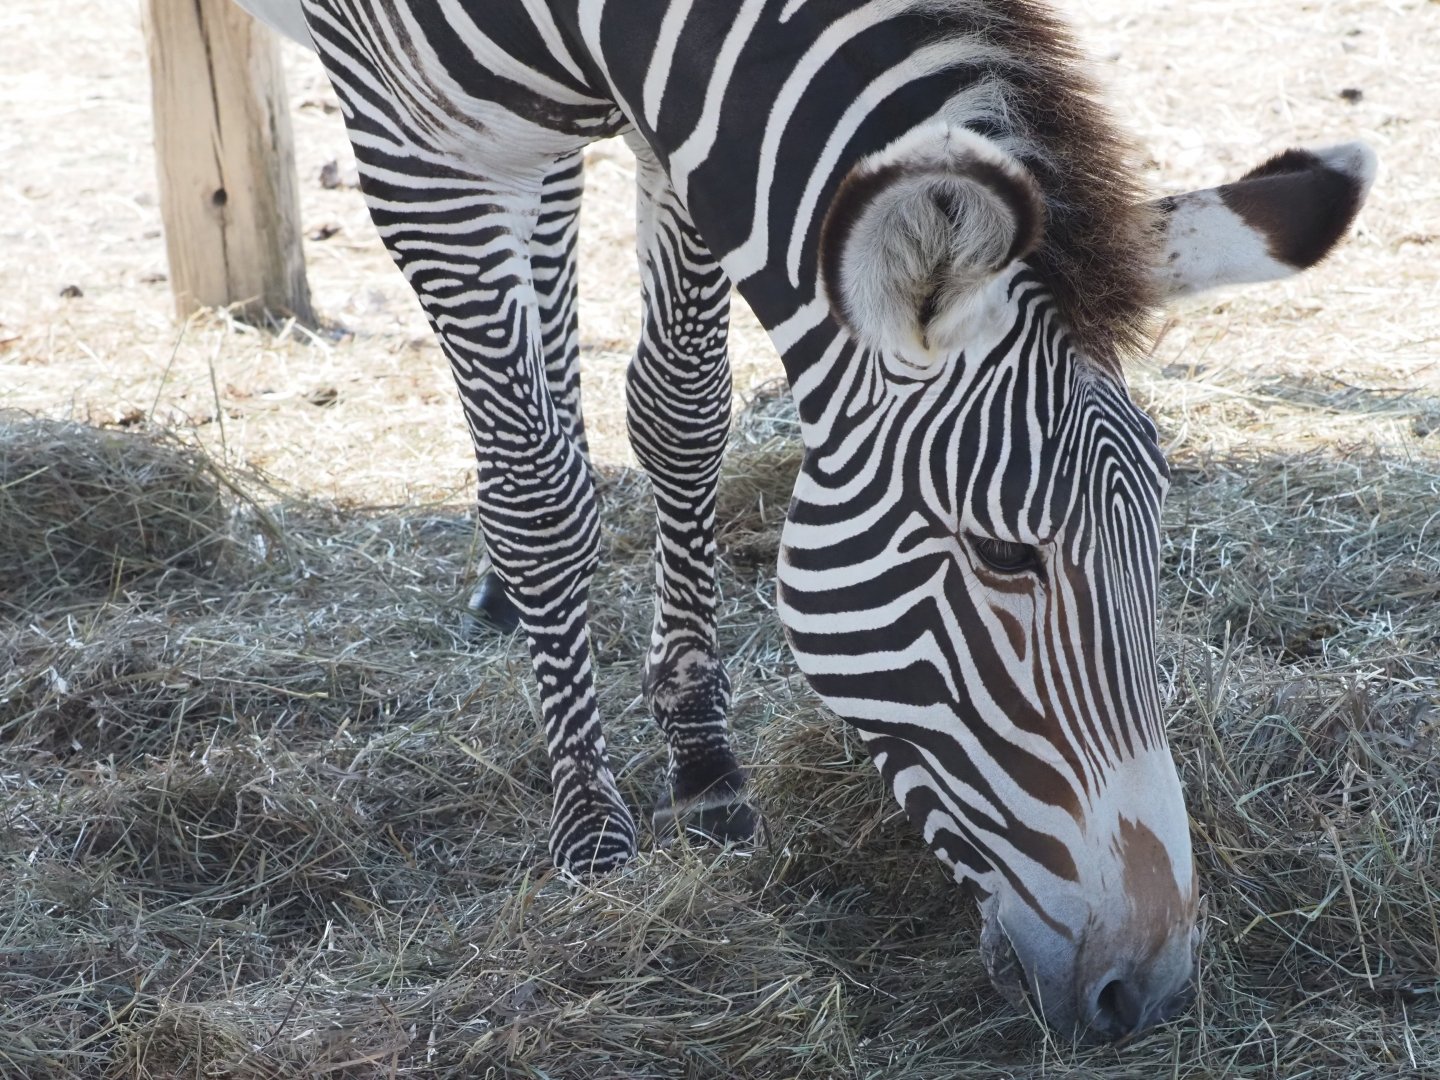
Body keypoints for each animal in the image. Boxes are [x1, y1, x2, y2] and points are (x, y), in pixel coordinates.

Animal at [229, 0, 1374, 1040]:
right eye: (1004, 552)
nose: (1152, 986)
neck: (601, 23)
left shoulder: (676, 122)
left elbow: (681, 411)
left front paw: (700, 760)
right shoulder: (414, 145)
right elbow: (539, 484)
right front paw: (593, 836)